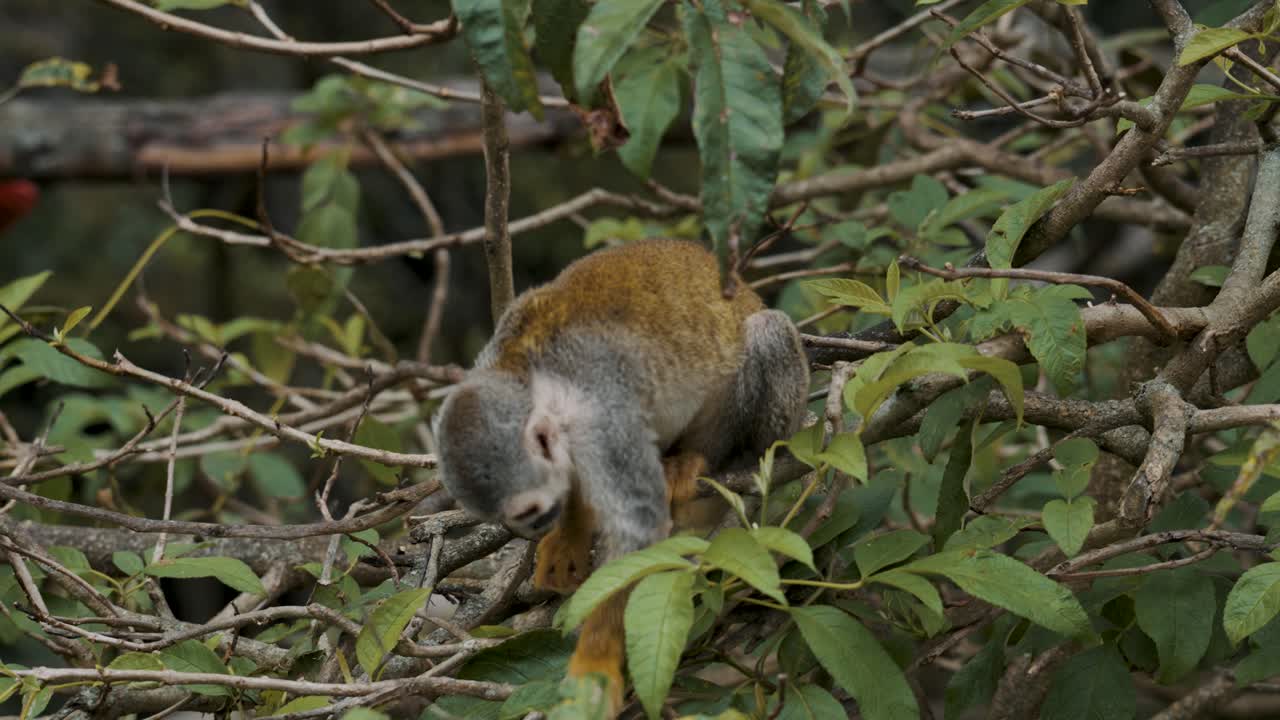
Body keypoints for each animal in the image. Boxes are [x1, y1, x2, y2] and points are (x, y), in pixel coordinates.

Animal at [432, 238, 810, 715]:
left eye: (531, 512)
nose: (537, 526)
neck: (529, 373)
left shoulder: (599, 415)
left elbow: (637, 527)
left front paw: (596, 664)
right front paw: (571, 533)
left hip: (782, 418)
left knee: (765, 334)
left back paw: (704, 461)